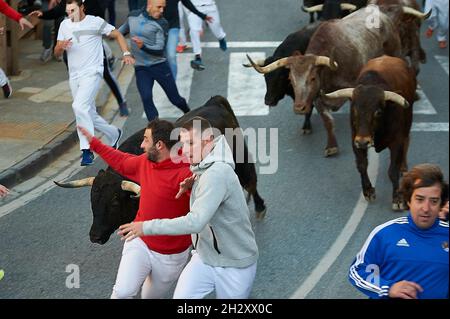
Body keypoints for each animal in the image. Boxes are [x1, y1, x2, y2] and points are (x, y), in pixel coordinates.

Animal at [55, 95, 268, 245]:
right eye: (92, 199)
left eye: (114, 201)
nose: (95, 236)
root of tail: (213, 103)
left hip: (241, 158)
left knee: (251, 180)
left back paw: (259, 207)